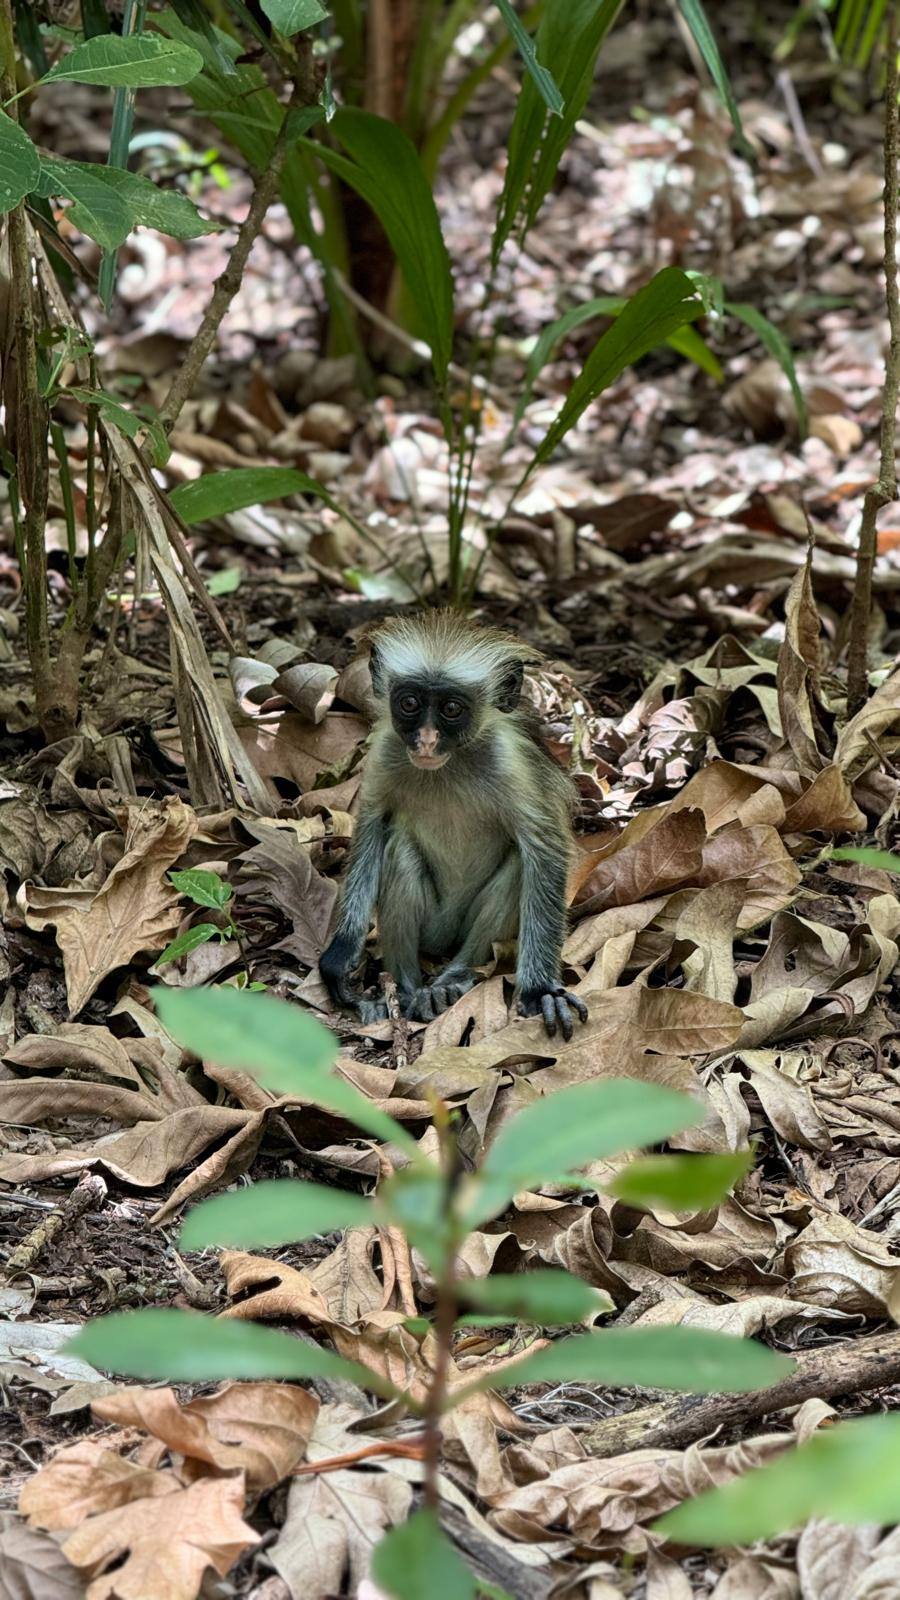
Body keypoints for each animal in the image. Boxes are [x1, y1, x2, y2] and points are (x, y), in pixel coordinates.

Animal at [319, 611, 589, 1041]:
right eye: (409, 703)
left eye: (451, 709)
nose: (427, 741)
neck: (449, 766)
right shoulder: (387, 752)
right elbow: (372, 828)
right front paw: (342, 955)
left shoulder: (509, 763)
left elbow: (544, 852)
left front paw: (541, 990)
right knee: (399, 850)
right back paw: (408, 990)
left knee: (519, 866)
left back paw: (453, 980)